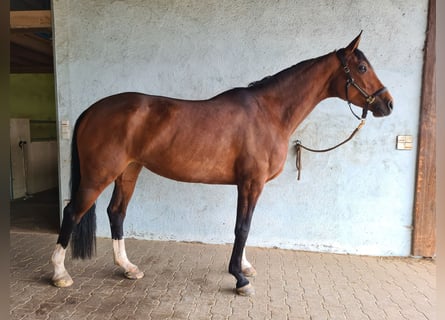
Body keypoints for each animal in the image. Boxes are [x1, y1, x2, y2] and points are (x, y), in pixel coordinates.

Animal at [51, 31, 392, 296]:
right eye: (362, 66)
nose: (387, 104)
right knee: (72, 212)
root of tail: (92, 110)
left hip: (128, 172)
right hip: (99, 175)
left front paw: (245, 267)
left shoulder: (249, 185)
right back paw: (59, 274)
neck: (269, 113)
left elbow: (246, 226)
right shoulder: (251, 182)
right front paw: (240, 278)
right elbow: (243, 227)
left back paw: (127, 267)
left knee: (116, 213)